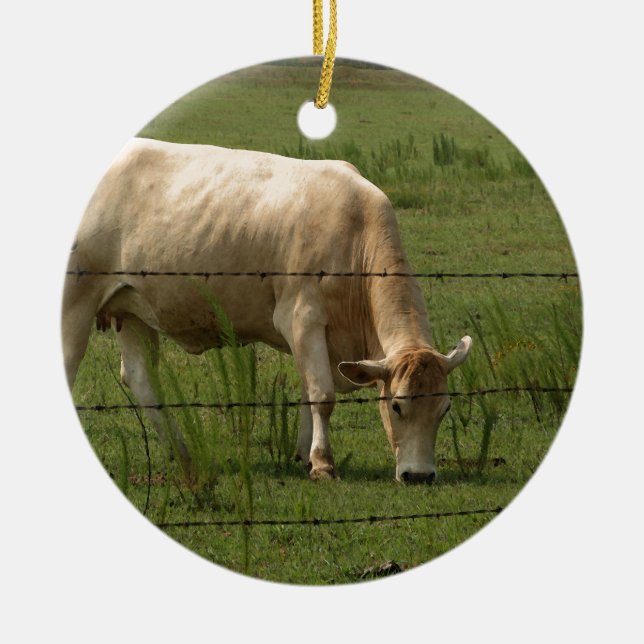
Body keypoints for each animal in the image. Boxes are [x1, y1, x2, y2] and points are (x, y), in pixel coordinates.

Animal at [63, 138, 472, 483]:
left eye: (444, 409)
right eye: (398, 406)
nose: (419, 476)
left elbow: (308, 389)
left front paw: (305, 454)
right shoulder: (301, 316)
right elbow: (322, 394)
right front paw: (323, 463)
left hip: (133, 308)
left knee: (139, 377)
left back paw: (183, 453)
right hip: (76, 298)